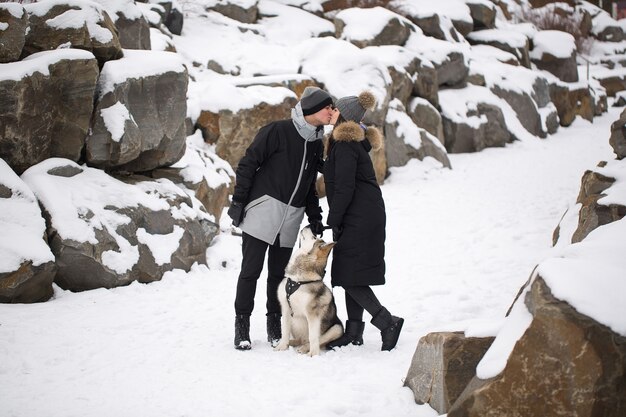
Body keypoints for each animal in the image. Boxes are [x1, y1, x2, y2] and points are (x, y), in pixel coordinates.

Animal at [272, 226, 342, 356]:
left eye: (314, 237)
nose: (308, 226)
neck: (297, 280)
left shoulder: (313, 313)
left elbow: (313, 337)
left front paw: (313, 355)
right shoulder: (286, 308)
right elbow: (284, 331)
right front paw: (282, 346)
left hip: (337, 328)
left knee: (313, 340)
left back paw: (304, 348)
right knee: (299, 339)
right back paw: (291, 343)